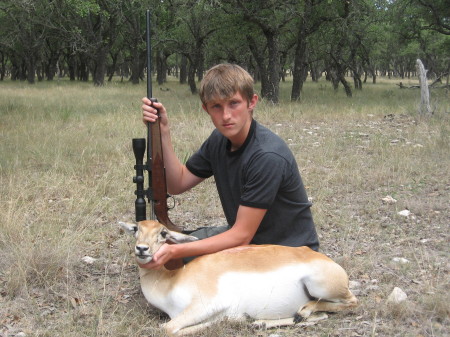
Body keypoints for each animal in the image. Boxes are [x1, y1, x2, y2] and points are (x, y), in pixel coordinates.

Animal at [119, 219, 358, 334]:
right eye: (136, 228)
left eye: (163, 233)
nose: (142, 249)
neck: (171, 281)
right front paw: (240, 319)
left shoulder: (208, 304)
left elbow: (167, 329)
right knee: (322, 315)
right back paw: (263, 323)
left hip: (320, 286)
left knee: (351, 302)